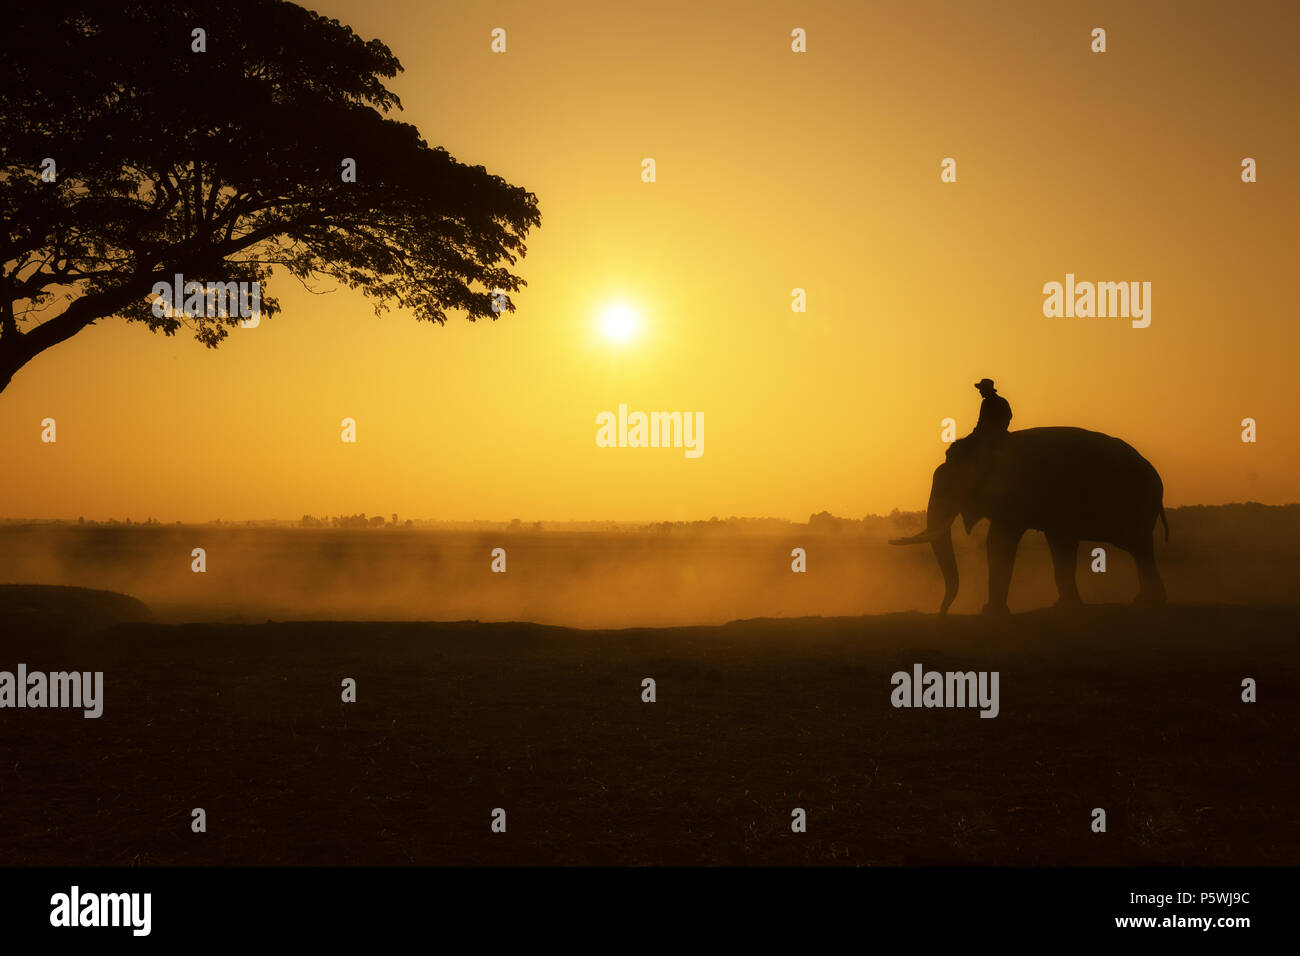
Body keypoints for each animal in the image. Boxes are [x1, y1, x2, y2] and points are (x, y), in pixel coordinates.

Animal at [889, 427, 1168, 615]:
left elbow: (1008, 542)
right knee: (1138, 549)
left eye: (952, 487)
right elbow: (1001, 542)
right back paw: (1144, 601)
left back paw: (1150, 602)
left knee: (1139, 547)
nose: (943, 612)